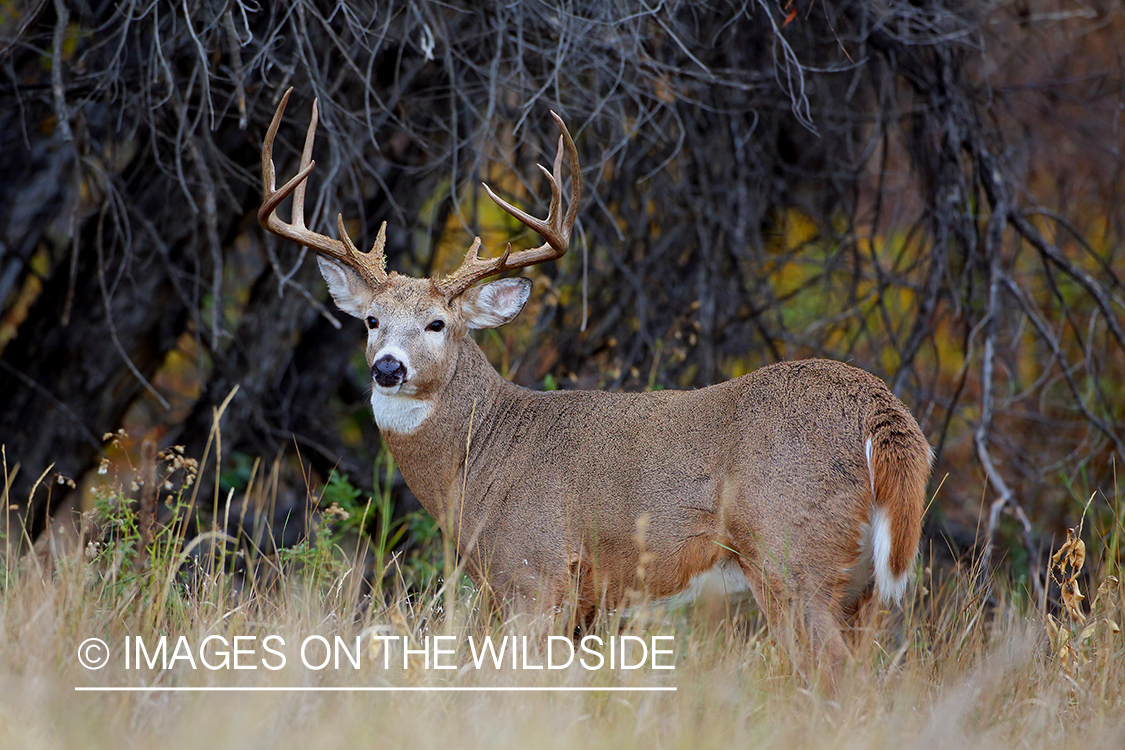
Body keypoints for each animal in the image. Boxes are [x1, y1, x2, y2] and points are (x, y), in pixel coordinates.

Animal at [258, 88, 932, 689]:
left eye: (437, 324)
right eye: (372, 320)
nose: (388, 368)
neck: (481, 459)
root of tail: (882, 412)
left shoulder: (536, 572)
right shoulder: (581, 605)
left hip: (792, 554)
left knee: (839, 678)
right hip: (860, 588)